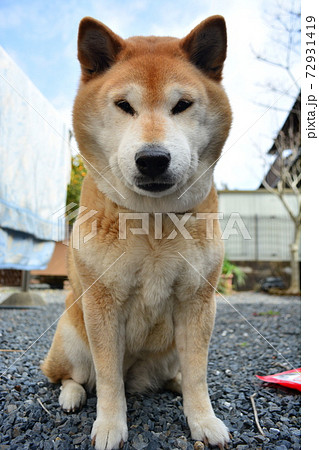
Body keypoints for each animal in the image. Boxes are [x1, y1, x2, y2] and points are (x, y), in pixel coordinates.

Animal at [42, 14, 232, 450]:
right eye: (124, 106)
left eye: (182, 105)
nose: (153, 159)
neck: (153, 219)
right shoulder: (102, 304)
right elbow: (108, 377)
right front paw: (111, 426)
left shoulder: (198, 301)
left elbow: (198, 374)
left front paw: (203, 419)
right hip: (72, 332)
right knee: (73, 376)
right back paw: (72, 396)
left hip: (170, 350)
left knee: (177, 374)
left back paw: (173, 384)